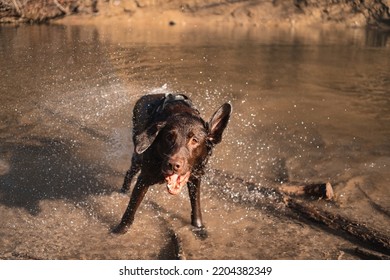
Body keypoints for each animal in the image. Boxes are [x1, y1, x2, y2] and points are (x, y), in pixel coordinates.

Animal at [112, 93, 232, 234]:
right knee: (129, 173)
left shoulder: (195, 176)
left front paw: (199, 228)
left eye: (194, 140)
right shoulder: (144, 177)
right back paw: (124, 191)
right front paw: (120, 230)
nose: (173, 165)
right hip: (138, 157)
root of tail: (146, 96)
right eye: (169, 137)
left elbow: (196, 206)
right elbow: (132, 207)